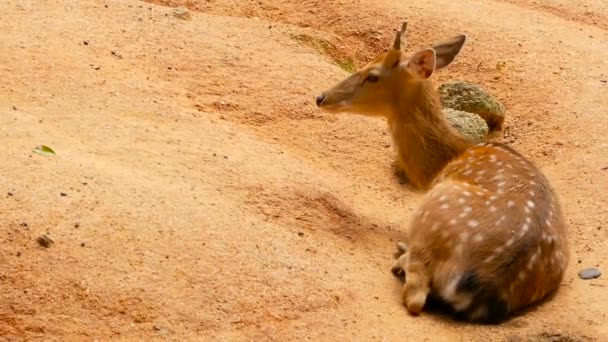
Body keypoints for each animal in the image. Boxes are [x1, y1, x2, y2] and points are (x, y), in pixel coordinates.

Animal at [316, 22, 568, 324]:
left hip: (434, 213)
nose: (321, 97)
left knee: (415, 297)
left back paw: (401, 256)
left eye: (372, 76)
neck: (450, 157)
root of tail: (481, 286)